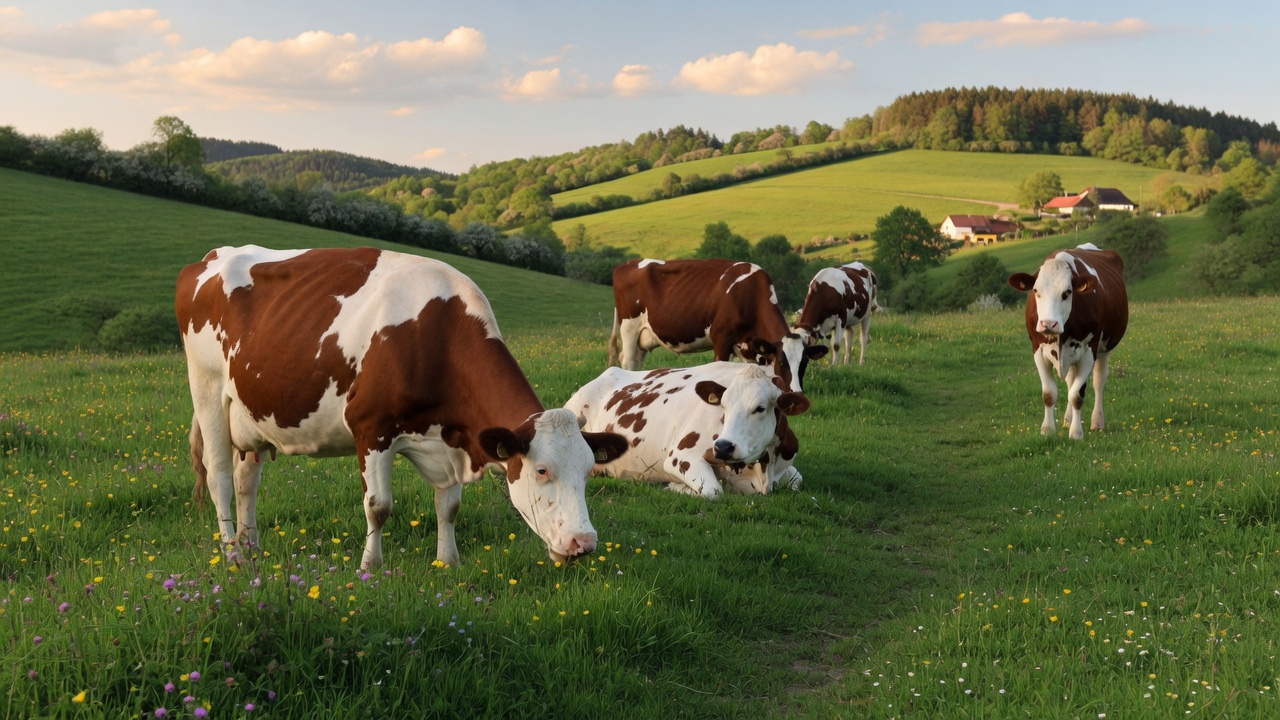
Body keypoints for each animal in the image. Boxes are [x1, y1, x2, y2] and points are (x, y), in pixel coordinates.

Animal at [175, 245, 628, 569]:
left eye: (589, 471)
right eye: (542, 470)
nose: (584, 543)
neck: (437, 333)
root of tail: (211, 257)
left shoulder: (451, 437)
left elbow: (449, 506)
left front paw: (449, 562)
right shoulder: (371, 427)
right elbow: (379, 507)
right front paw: (370, 567)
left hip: (250, 415)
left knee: (245, 480)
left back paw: (251, 546)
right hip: (207, 390)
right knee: (219, 477)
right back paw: (231, 553)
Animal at [565, 362, 810, 498]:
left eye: (760, 408)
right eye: (723, 406)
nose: (723, 447)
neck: (763, 473)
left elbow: (797, 480)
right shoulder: (681, 456)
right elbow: (713, 491)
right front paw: (673, 486)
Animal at [607, 258, 827, 393]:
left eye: (804, 363)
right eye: (782, 362)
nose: (797, 392)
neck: (749, 295)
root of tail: (627, 264)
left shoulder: (749, 350)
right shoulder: (721, 339)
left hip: (641, 339)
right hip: (629, 330)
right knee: (628, 361)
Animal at [1007, 242, 1129, 440]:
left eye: (1067, 292)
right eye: (1036, 291)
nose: (1048, 324)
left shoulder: (1088, 352)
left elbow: (1076, 395)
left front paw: (1076, 433)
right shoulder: (1038, 351)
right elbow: (1049, 393)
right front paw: (1048, 430)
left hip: (1104, 349)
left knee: (1098, 381)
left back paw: (1097, 422)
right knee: (1071, 379)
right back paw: (1068, 418)